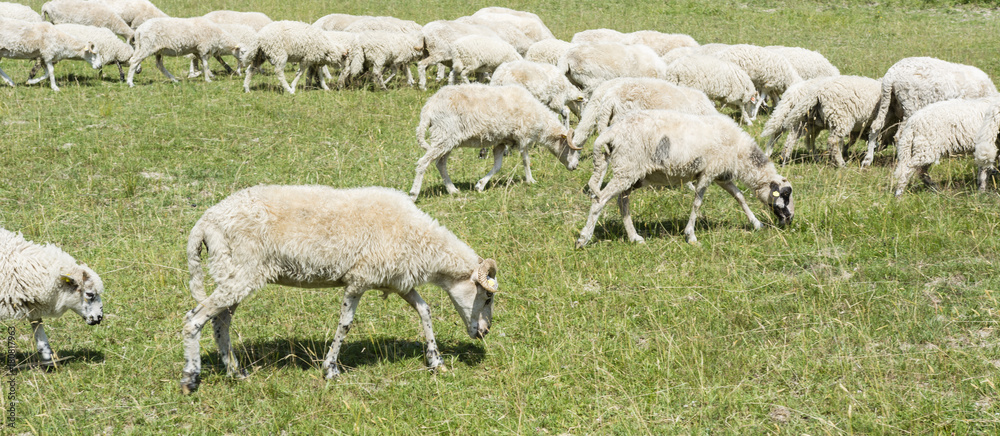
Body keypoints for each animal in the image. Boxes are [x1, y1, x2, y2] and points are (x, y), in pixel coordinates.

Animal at [180, 185, 499, 393]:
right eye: (487, 296)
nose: (485, 332)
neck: (421, 241)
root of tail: (205, 221)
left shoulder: (396, 281)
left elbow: (425, 310)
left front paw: (436, 360)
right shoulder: (359, 279)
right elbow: (345, 324)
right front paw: (330, 369)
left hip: (234, 273)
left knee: (221, 320)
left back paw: (235, 372)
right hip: (240, 271)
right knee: (194, 319)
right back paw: (190, 378)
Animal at [409, 84, 582, 199]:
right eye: (572, 149)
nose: (575, 167)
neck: (541, 120)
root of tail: (428, 108)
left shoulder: (501, 141)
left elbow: (497, 166)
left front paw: (480, 185)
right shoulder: (523, 136)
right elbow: (526, 161)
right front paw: (530, 180)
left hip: (447, 139)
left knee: (440, 163)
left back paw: (452, 190)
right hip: (444, 135)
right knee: (423, 163)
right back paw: (414, 193)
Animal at [576, 109, 794, 247]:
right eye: (785, 194)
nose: (790, 219)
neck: (740, 153)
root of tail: (611, 132)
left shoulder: (721, 175)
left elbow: (740, 197)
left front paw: (756, 223)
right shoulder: (707, 173)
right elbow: (697, 203)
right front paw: (691, 235)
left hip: (631, 173)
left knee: (622, 202)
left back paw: (634, 237)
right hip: (626, 169)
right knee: (600, 200)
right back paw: (583, 239)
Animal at [864, 57, 998, 167]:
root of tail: (890, 76)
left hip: (890, 104)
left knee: (876, 126)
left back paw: (868, 159)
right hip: (909, 104)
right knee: (899, 136)